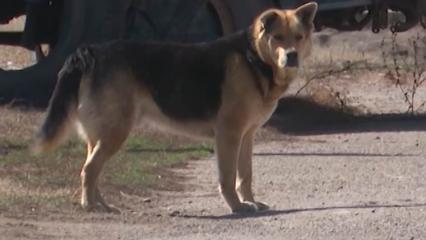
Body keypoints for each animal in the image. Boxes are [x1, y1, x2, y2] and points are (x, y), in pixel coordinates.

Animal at [34, 1, 316, 212]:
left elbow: (245, 174)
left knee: (92, 169)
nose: (292, 56)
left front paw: (250, 201)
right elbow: (227, 177)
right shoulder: (229, 135)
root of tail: (89, 52)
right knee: (89, 170)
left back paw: (101, 204)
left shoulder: (247, 136)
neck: (254, 58)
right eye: (278, 37)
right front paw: (236, 206)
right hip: (115, 131)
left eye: (299, 37)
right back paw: (90, 206)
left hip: (102, 133)